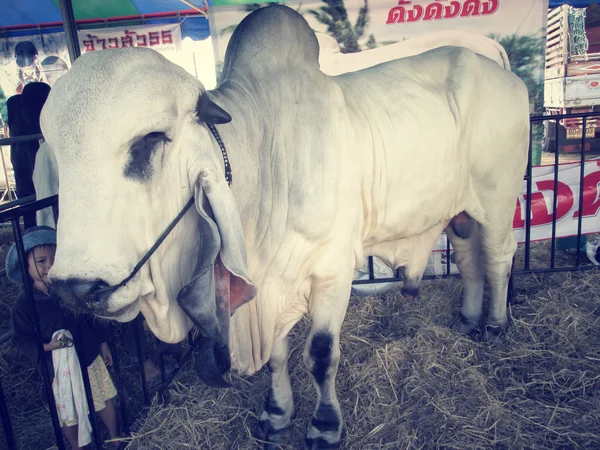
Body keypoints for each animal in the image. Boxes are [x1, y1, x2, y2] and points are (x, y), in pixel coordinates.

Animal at [38, 4, 528, 450]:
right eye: (55, 157)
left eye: (151, 139)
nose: (74, 289)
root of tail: (503, 71)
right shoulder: (266, 286)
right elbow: (276, 357)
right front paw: (276, 417)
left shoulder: (333, 271)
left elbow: (321, 354)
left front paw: (325, 427)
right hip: (460, 212)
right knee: (469, 259)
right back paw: (467, 320)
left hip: (498, 198)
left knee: (499, 255)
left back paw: (495, 324)